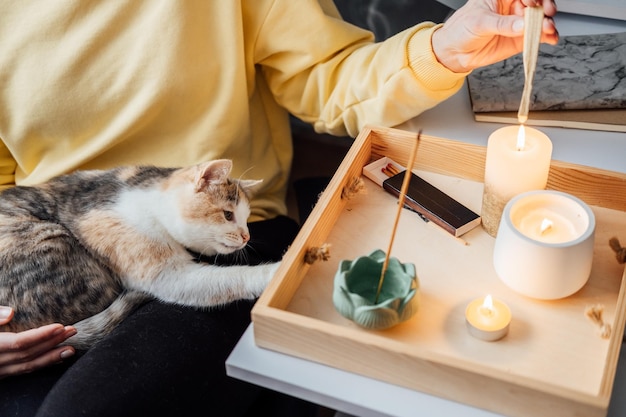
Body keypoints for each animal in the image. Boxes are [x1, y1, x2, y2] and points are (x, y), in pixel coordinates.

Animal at [0, 158, 280, 348]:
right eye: (228, 215)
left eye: (246, 218)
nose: (246, 236)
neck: (152, 202)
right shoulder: (168, 274)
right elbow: (230, 279)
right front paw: (273, 272)